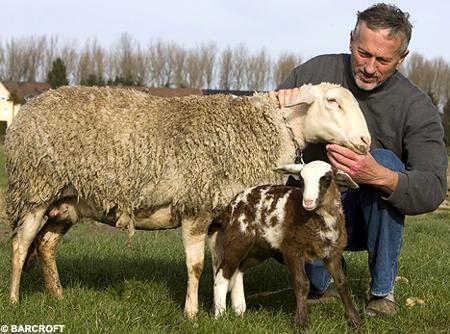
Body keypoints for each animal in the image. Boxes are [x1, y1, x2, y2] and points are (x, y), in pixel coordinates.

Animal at [212, 160, 362, 328]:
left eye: (327, 179)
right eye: (301, 180)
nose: (308, 202)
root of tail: (231, 205)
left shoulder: (332, 252)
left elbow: (342, 283)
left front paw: (355, 320)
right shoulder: (292, 249)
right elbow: (302, 283)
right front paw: (301, 322)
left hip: (261, 247)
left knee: (238, 270)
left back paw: (239, 310)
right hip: (238, 237)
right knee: (222, 273)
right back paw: (220, 315)